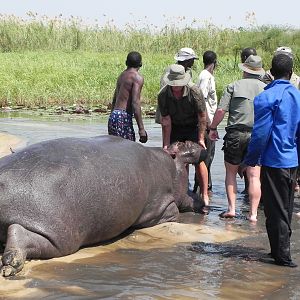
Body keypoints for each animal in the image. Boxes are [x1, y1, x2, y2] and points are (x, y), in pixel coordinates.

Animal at [0, 135, 206, 276]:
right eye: (183, 147)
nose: (194, 142)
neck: (169, 164)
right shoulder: (163, 207)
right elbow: (174, 213)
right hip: (61, 237)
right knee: (22, 235)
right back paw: (11, 266)